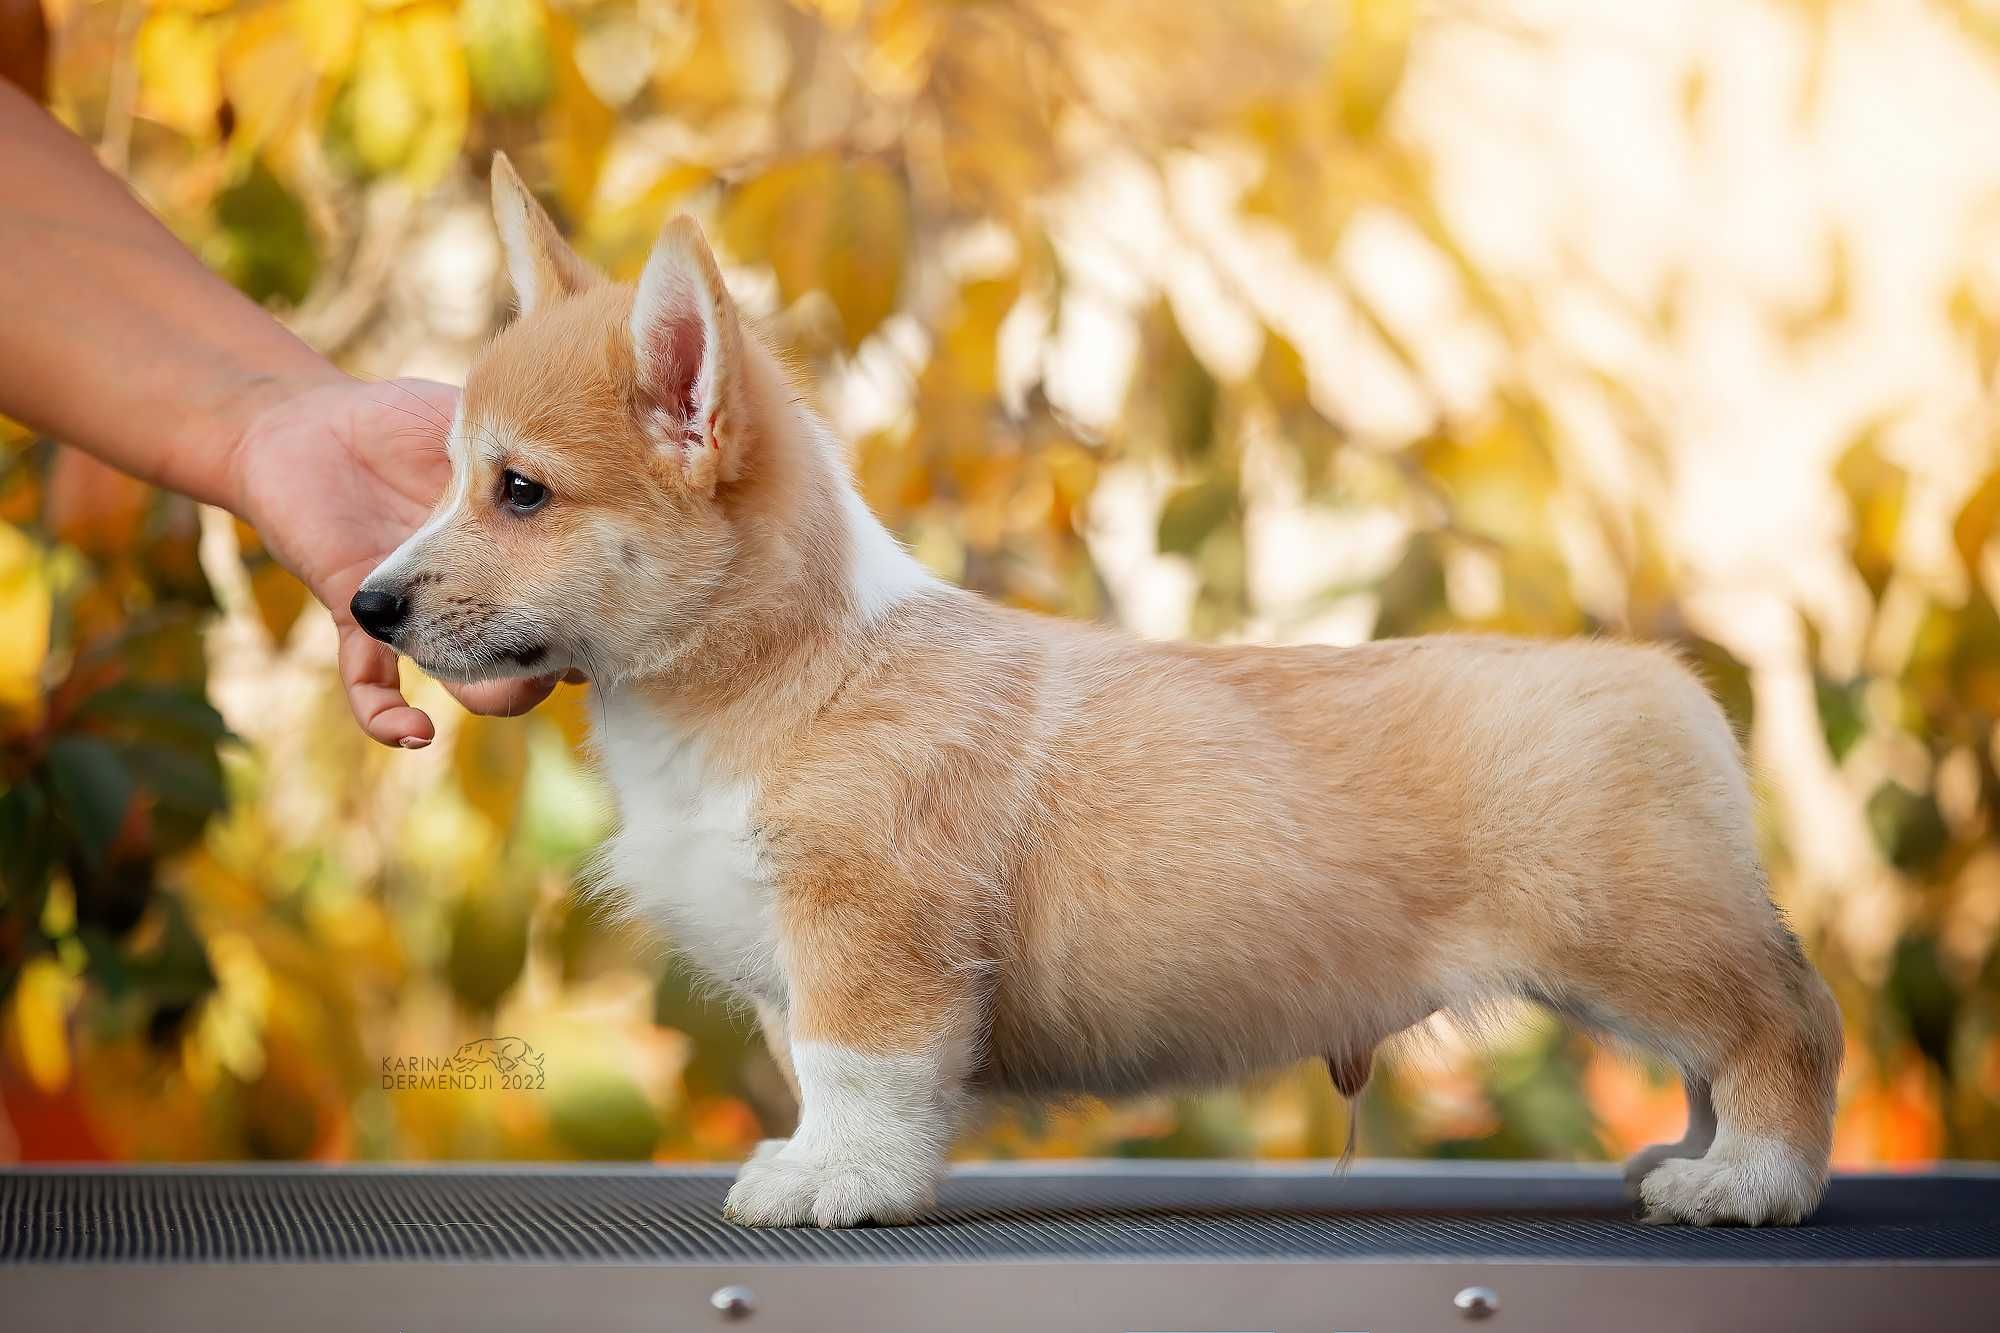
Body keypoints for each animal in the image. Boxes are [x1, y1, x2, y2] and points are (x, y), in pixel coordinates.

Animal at [356, 150, 1840, 1216]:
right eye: (447, 475)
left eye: (521, 491)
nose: (369, 603)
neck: (780, 671)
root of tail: (1662, 683)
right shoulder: (796, 964)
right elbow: (812, 1073)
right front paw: (812, 1161)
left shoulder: (869, 938)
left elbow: (857, 1075)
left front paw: (838, 1186)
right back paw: (1691, 1159)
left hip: (1635, 943)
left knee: (1787, 1023)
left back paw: (1743, 1182)